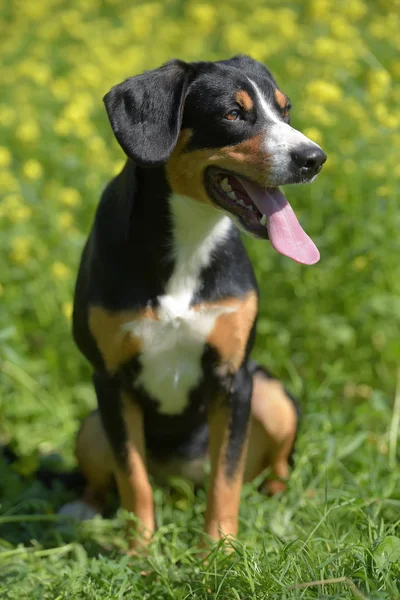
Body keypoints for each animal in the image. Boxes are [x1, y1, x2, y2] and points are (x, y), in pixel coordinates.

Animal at [61, 54, 326, 552]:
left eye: (286, 110)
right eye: (233, 114)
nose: (314, 158)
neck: (191, 238)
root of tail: (181, 484)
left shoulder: (233, 378)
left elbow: (227, 478)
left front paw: (220, 550)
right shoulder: (111, 381)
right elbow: (132, 478)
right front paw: (140, 552)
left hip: (273, 395)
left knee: (275, 467)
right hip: (91, 424)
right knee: (106, 477)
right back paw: (83, 507)